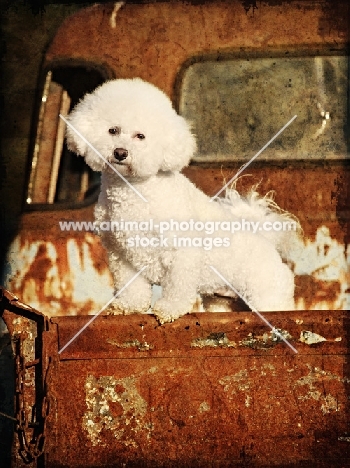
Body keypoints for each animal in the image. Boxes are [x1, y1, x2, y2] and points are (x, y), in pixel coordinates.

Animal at [65, 78, 296, 324]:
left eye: (140, 136)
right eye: (112, 130)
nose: (120, 152)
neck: (136, 191)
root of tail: (269, 245)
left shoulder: (182, 253)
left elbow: (178, 287)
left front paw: (169, 309)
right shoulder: (122, 256)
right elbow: (132, 288)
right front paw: (129, 306)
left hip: (266, 295)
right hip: (223, 301)